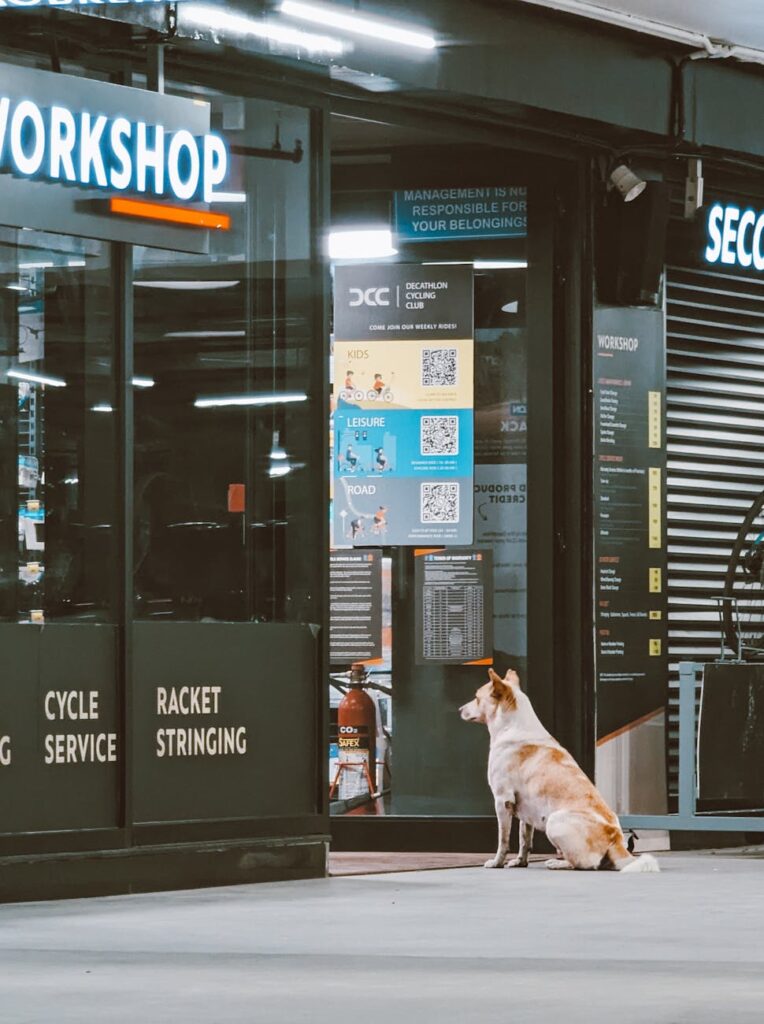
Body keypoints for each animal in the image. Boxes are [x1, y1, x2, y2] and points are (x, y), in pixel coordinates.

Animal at [460, 667, 659, 876]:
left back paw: (557, 863)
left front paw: (497, 862)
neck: (513, 727)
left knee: (583, 864)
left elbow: (503, 840)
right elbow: (524, 840)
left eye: (476, 698)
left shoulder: (502, 800)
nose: (459, 709)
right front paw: (521, 861)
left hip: (554, 821)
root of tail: (615, 837)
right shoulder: (524, 811)